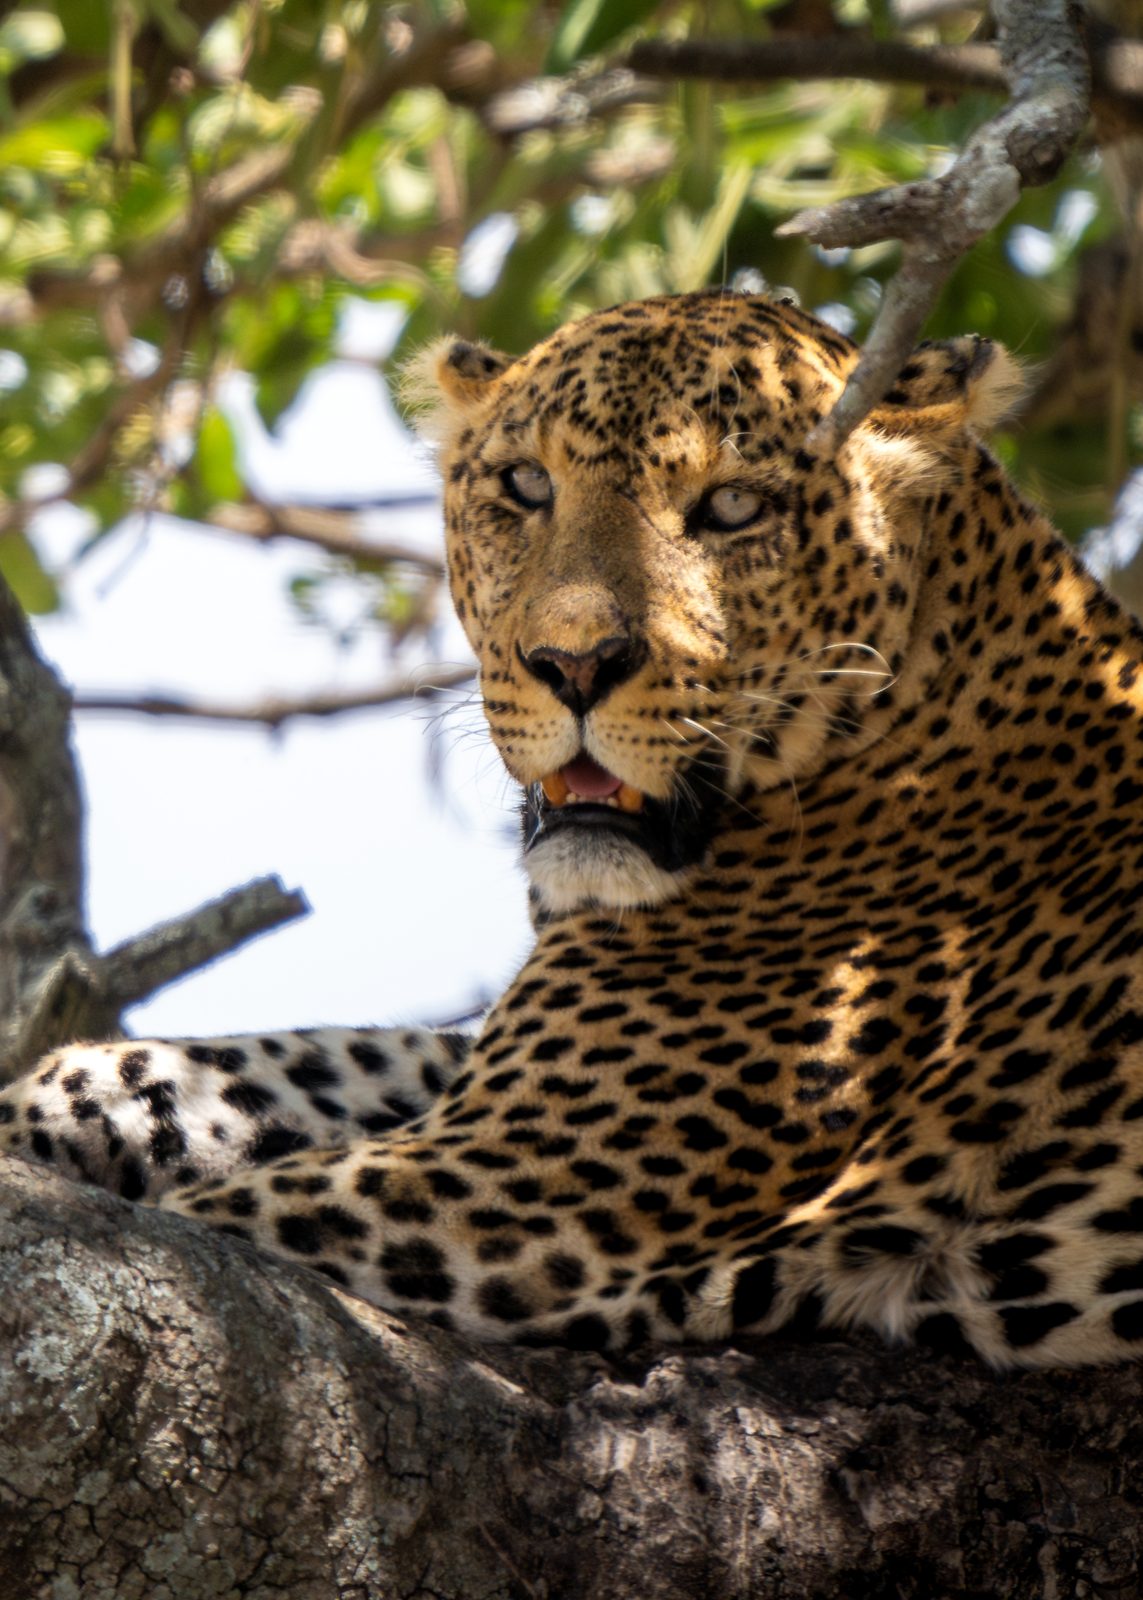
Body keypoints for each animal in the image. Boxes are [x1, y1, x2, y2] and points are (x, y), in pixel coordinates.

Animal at [3, 288, 1143, 1369]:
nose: (574, 664)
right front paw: (52, 1103)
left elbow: (209, 1201)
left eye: (733, 505)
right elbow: (280, 1059)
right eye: (524, 486)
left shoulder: (496, 1183)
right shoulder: (482, 1084)